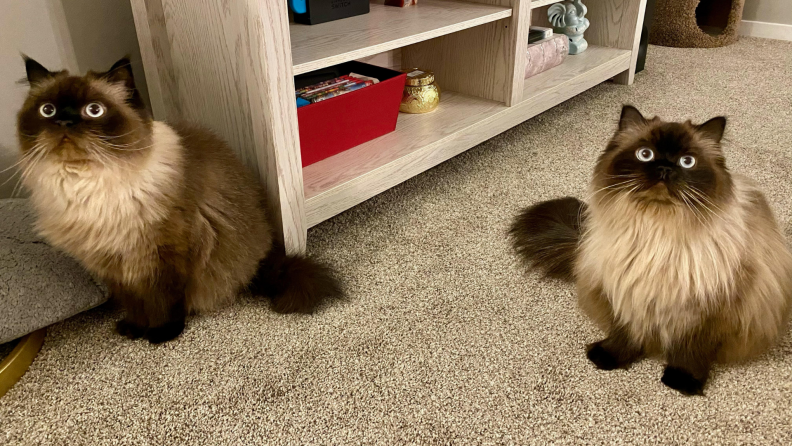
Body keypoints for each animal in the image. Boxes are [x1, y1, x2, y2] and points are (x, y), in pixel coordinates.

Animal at [16, 56, 344, 344]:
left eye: (93, 110)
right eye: (47, 110)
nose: (65, 122)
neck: (84, 183)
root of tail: (265, 257)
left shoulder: (164, 254)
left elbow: (163, 301)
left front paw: (160, 334)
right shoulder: (111, 264)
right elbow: (133, 303)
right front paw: (134, 329)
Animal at [510, 105, 788, 398]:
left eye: (687, 161)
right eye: (646, 154)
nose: (664, 167)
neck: (656, 235)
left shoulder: (707, 312)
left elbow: (692, 352)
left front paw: (683, 382)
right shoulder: (626, 290)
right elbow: (624, 334)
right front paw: (609, 358)